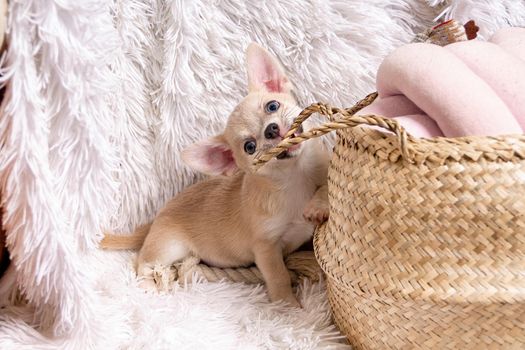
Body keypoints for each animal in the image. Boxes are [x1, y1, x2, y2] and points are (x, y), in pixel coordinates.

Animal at [101, 43, 328, 306]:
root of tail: (155, 220)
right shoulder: (266, 248)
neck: (295, 178)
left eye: (272, 106)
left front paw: (318, 205)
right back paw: (148, 285)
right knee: (142, 262)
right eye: (249, 147)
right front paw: (287, 305)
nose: (271, 129)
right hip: (168, 248)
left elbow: (326, 188)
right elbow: (278, 276)